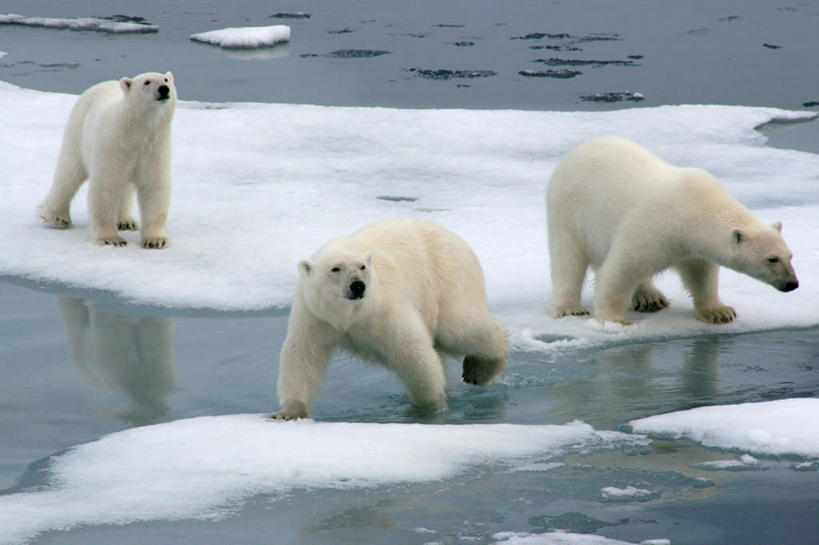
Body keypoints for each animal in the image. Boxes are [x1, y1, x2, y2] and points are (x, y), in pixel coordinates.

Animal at [38, 71, 178, 248]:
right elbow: (106, 186)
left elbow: (154, 186)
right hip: (78, 130)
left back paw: (126, 221)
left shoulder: (154, 148)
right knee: (69, 172)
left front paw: (155, 240)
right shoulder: (114, 144)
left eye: (166, 79)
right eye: (147, 82)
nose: (164, 89)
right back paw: (57, 217)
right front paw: (111, 238)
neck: (138, 130)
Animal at [274, 219, 506, 418]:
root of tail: (456, 237)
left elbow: (413, 351)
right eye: (335, 268)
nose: (358, 286)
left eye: (362, 267)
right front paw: (288, 413)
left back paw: (481, 369)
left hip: (450, 275)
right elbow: (302, 355)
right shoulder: (314, 313)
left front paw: (429, 407)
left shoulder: (384, 307)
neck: (350, 314)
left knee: (459, 329)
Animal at [548, 136, 796, 324]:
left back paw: (649, 297)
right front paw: (613, 319)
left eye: (790, 256)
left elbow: (701, 275)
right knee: (568, 260)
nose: (793, 284)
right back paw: (569, 307)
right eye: (772, 259)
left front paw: (719, 311)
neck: (696, 208)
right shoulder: (654, 226)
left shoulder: (693, 247)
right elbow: (623, 267)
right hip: (570, 210)